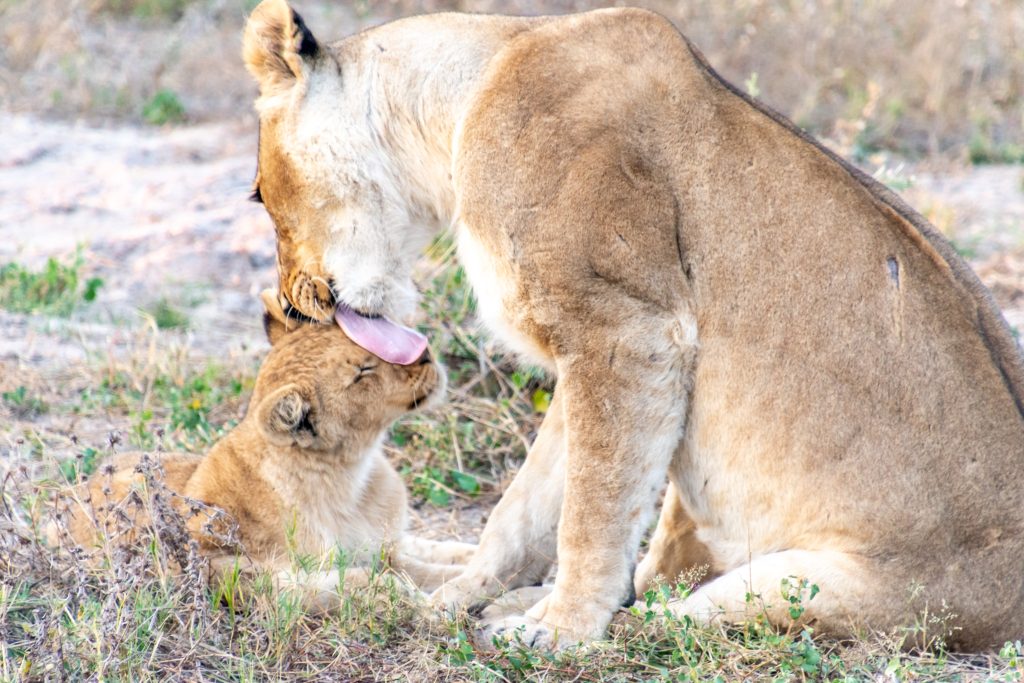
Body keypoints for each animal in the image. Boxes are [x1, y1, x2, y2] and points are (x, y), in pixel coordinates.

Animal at [56, 290, 475, 607]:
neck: (349, 477)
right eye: (362, 371)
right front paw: (404, 596)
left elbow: (429, 562)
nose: (426, 354)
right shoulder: (221, 567)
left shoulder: (385, 544)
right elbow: (347, 582)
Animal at [241, 1, 1024, 650]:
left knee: (668, 618)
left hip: (801, 584)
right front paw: (462, 600)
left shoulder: (626, 332)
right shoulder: (585, 350)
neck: (454, 113)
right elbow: (530, 504)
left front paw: (557, 631)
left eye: (257, 193)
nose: (289, 306)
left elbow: (593, 505)